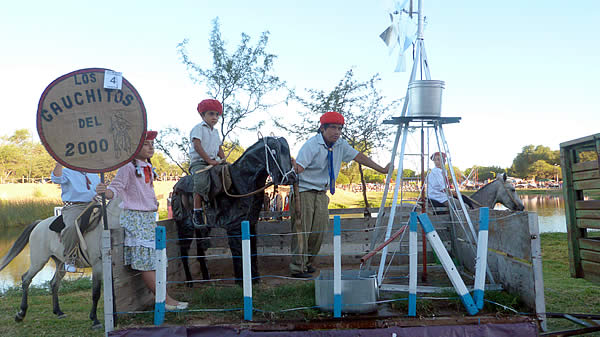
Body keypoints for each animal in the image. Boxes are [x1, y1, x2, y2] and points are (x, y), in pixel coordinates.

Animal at [183, 136, 296, 284]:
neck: (241, 181)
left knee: (200, 249)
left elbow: (252, 252)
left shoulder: (251, 224)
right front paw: (240, 281)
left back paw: (206, 279)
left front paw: (255, 279)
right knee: (183, 251)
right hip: (185, 226)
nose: (292, 177)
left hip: (200, 230)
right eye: (273, 151)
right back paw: (189, 282)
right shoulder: (234, 227)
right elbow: (238, 254)